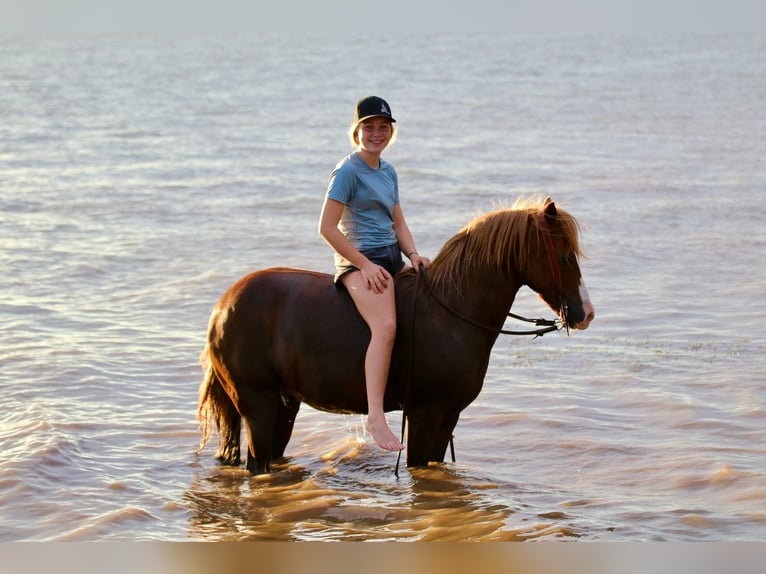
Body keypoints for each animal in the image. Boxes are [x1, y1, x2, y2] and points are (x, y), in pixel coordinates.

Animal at [197, 196, 594, 474]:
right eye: (563, 256)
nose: (586, 313)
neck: (450, 314)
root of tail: (222, 305)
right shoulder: (424, 414)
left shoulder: (448, 416)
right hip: (257, 402)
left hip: (284, 404)